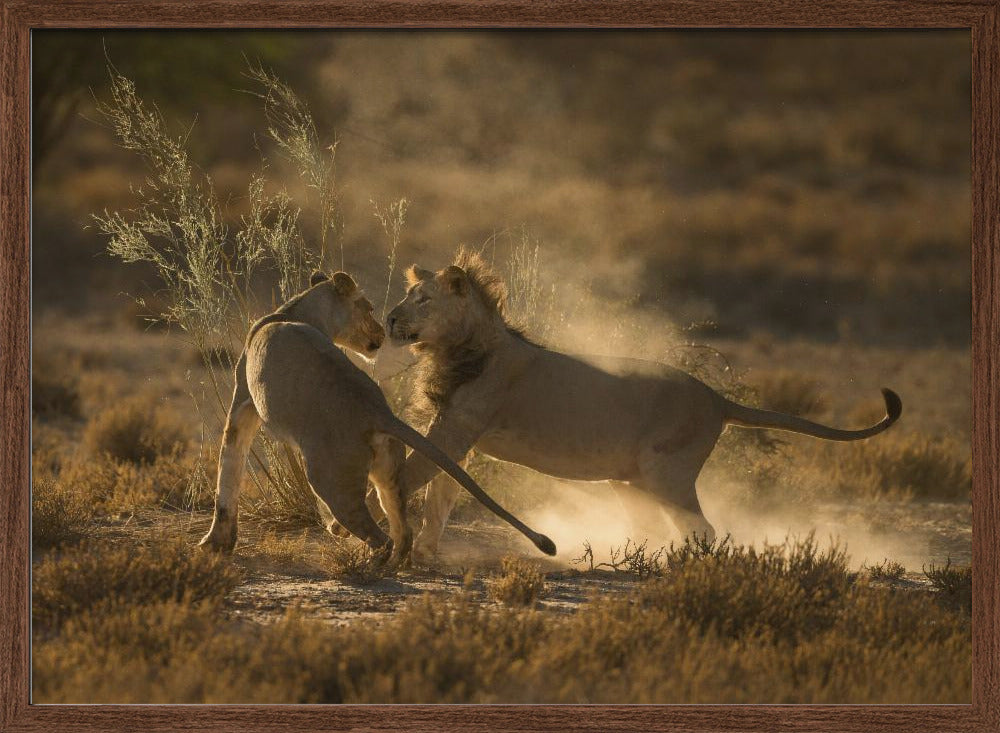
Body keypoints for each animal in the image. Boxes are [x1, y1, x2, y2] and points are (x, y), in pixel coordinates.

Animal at [198, 270, 556, 564]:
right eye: (369, 309)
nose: (383, 332)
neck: (296, 312)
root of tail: (378, 411)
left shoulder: (243, 403)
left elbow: (228, 471)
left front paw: (215, 543)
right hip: (389, 473)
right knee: (402, 529)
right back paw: (396, 563)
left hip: (330, 478)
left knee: (377, 535)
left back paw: (367, 564)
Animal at [385, 251, 902, 560]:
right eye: (408, 296)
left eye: (422, 299)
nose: (389, 319)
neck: (458, 349)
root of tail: (715, 397)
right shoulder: (457, 436)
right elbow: (440, 495)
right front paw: (425, 554)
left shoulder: (457, 427)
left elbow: (413, 475)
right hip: (630, 480)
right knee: (658, 527)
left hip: (665, 471)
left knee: (702, 529)